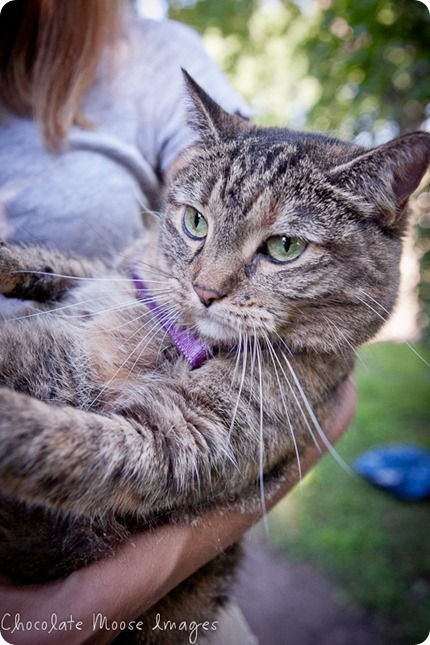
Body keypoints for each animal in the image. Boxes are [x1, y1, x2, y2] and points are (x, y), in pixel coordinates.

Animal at [0, 73, 430, 640]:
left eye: (285, 247)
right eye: (195, 222)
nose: (204, 290)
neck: (178, 336)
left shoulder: (182, 439)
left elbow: (68, 439)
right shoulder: (107, 272)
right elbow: (51, 262)